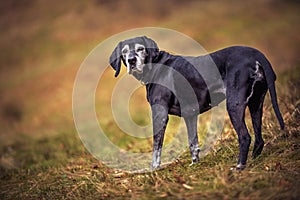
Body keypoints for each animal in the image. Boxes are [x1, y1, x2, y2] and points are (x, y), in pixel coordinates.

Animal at [109, 36, 284, 170]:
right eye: (124, 52)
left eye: (140, 49)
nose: (131, 60)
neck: (156, 65)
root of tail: (256, 54)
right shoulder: (190, 114)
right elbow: (193, 142)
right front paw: (195, 164)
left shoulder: (160, 114)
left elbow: (156, 147)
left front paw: (154, 169)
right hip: (256, 104)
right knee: (259, 139)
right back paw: (253, 160)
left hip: (234, 104)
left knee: (245, 136)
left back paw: (239, 166)